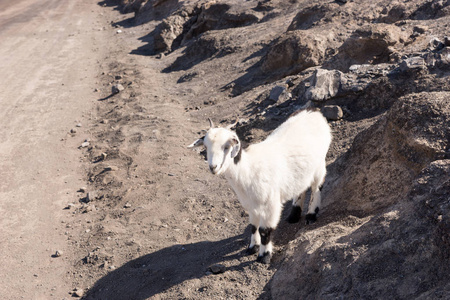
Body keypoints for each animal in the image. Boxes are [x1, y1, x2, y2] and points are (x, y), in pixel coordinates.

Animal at [188, 109, 332, 264]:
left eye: (226, 147)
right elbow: (253, 226)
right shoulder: (251, 204)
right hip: (302, 172)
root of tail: (314, 113)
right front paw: (253, 247)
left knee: (317, 186)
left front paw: (264, 256)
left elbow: (264, 230)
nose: (213, 167)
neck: (248, 169)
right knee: (301, 187)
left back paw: (311, 215)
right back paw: (294, 215)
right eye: (206, 147)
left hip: (320, 164)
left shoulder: (270, 204)